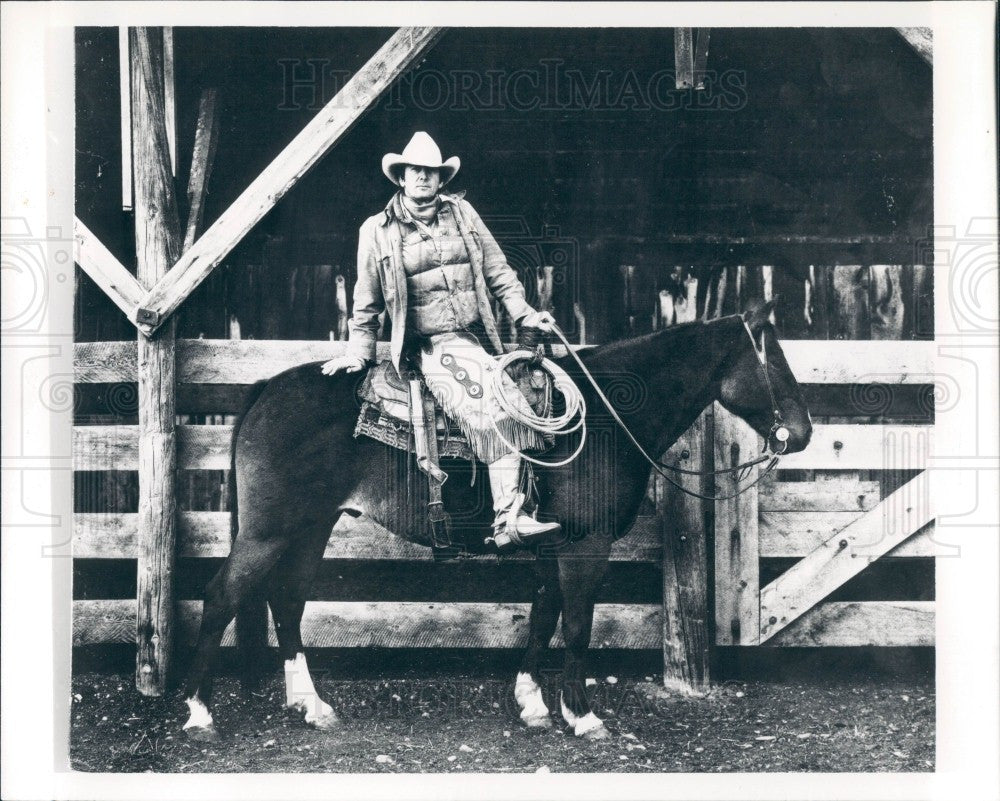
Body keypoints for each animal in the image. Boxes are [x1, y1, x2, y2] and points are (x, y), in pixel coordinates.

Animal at [182, 298, 812, 736]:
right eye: (775, 362)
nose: (802, 433)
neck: (604, 417)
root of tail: (265, 388)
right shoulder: (586, 546)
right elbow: (576, 626)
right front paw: (582, 715)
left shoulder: (555, 545)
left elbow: (542, 616)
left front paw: (533, 703)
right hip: (269, 530)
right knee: (221, 596)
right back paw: (199, 712)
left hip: (310, 527)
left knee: (287, 602)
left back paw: (311, 705)